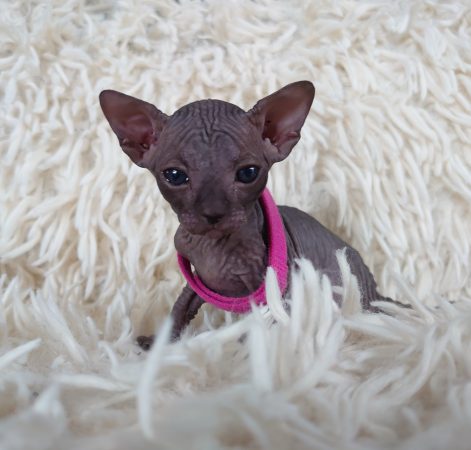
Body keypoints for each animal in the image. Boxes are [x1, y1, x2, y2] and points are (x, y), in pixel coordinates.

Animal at [98, 80, 390, 348]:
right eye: (175, 176)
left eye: (248, 173)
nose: (212, 213)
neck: (214, 247)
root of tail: (376, 292)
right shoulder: (199, 281)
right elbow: (179, 310)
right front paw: (159, 344)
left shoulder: (274, 286)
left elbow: (268, 320)